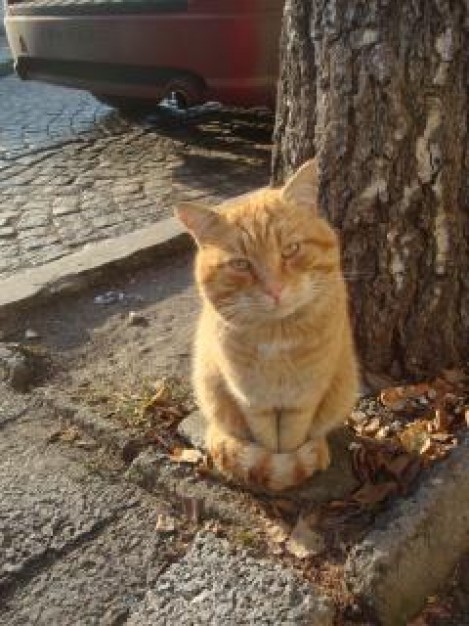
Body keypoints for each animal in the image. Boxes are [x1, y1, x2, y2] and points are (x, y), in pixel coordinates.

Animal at [176, 158, 358, 490]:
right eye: (241, 264)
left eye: (290, 250)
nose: (275, 290)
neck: (277, 336)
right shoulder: (252, 402)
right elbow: (268, 444)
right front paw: (276, 471)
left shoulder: (303, 401)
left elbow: (291, 441)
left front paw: (289, 469)